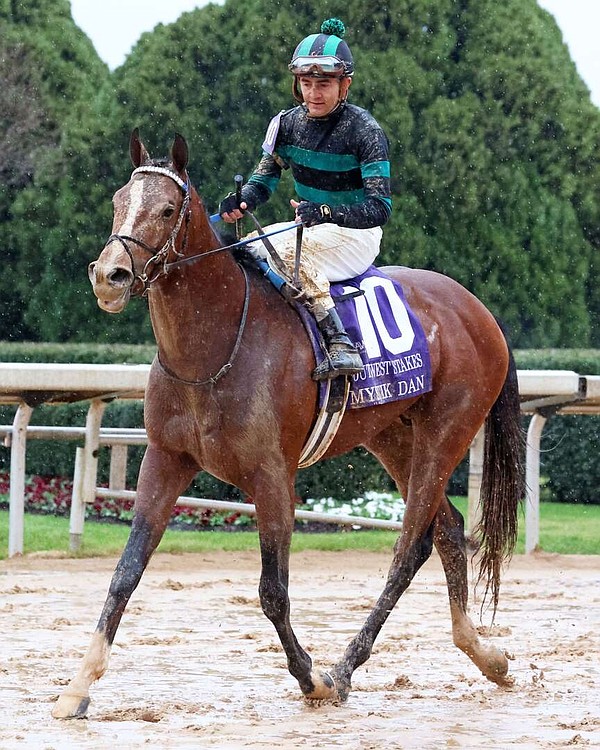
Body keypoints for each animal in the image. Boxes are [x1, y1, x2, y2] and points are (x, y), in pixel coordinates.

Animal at [51, 131, 524, 724]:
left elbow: (272, 590)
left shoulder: (273, 476)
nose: (109, 276)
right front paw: (77, 686)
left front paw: (312, 679)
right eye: (119, 201)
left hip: (447, 430)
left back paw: (345, 668)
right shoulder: (165, 459)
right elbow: (125, 572)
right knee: (446, 531)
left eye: (166, 209)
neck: (213, 349)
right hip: (393, 436)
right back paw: (484, 655)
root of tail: (478, 309)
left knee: (407, 547)